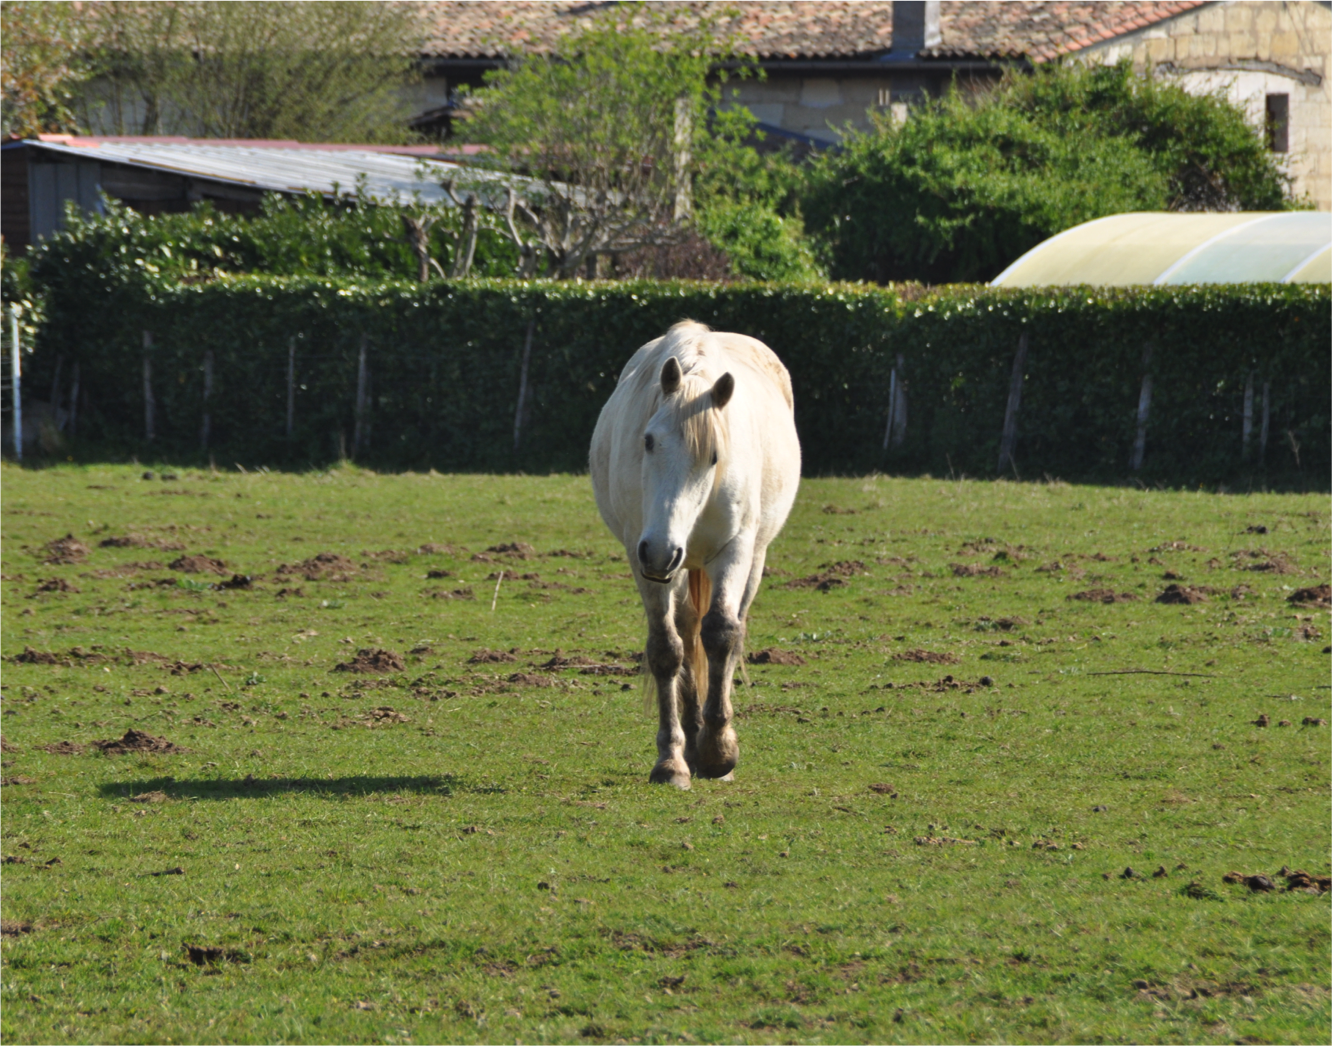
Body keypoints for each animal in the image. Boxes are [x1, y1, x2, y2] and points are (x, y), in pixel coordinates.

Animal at [594, 322, 799, 788]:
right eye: (648, 441)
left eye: (715, 456)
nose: (660, 551)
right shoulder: (642, 556)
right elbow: (667, 650)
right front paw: (671, 759)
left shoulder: (735, 550)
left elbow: (722, 633)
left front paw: (719, 752)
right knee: (687, 635)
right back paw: (689, 736)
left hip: (748, 558)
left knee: (732, 628)